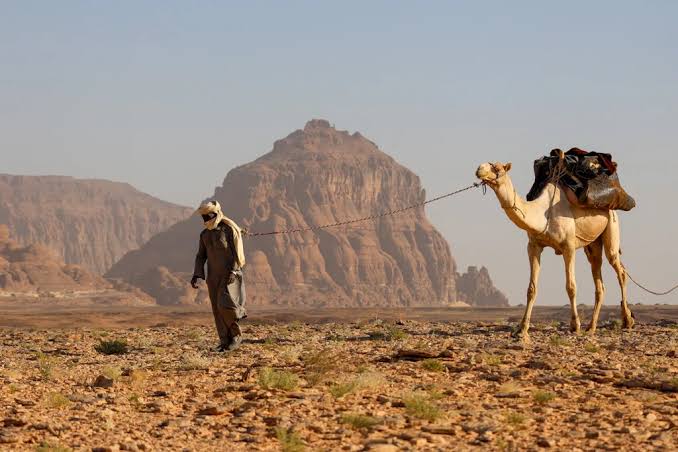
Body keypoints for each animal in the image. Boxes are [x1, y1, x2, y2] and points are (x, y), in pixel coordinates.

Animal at [475, 160, 634, 341]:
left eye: (497, 168)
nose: (479, 170)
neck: (544, 214)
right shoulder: (533, 246)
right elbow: (531, 289)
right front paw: (522, 329)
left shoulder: (568, 246)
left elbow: (571, 287)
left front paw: (574, 326)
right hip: (593, 244)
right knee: (599, 279)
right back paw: (591, 327)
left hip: (612, 227)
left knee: (620, 270)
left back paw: (627, 321)